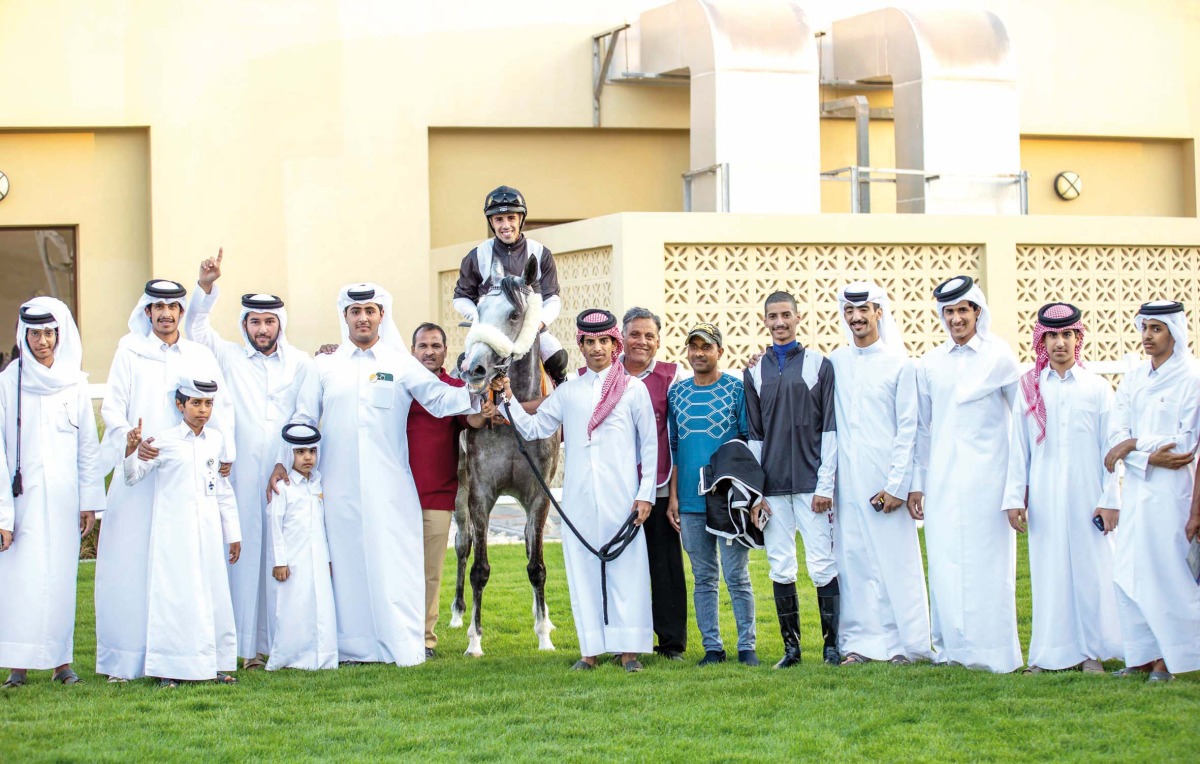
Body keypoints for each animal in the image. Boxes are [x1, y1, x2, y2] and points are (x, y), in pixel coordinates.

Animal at [451, 256, 561, 657]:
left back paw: (544, 618)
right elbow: (479, 568)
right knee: (462, 545)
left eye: (515, 314)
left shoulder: (539, 493)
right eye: (480, 310)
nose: (475, 369)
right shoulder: (480, 492)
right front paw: (474, 640)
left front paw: (544, 634)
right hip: (459, 489)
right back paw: (456, 614)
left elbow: (537, 565)